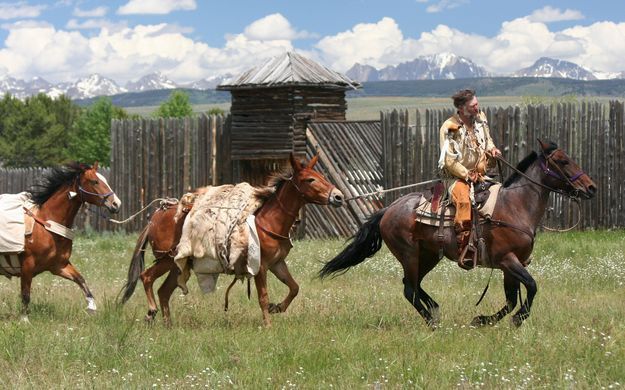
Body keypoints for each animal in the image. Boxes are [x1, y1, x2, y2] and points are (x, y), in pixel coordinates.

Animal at [0, 163, 120, 318]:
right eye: (95, 181)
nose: (116, 204)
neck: (47, 224)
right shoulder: (27, 264)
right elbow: (25, 294)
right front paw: (24, 319)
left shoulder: (58, 265)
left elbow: (80, 279)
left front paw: (91, 306)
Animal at [120, 153, 346, 326]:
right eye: (310, 180)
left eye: (321, 176)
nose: (338, 196)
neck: (268, 221)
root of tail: (155, 218)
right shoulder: (260, 267)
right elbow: (262, 297)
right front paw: (268, 325)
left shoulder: (277, 263)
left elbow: (294, 287)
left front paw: (277, 307)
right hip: (166, 259)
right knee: (146, 277)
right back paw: (151, 311)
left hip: (178, 265)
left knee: (164, 291)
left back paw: (168, 325)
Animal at [320, 141, 596, 330]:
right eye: (563, 161)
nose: (591, 187)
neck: (515, 206)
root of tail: (388, 209)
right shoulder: (508, 260)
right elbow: (531, 287)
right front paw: (515, 319)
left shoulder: (512, 265)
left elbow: (511, 300)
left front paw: (482, 320)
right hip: (409, 254)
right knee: (409, 289)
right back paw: (432, 322)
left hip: (429, 256)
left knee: (414, 285)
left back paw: (434, 310)